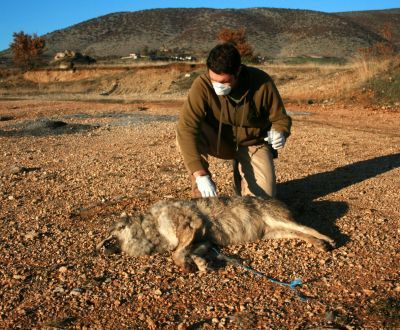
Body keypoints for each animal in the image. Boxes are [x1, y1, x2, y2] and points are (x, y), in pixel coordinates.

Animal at [97, 196, 334, 270]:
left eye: (111, 234)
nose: (98, 248)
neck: (152, 226)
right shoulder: (202, 240)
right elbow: (188, 252)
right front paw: (200, 264)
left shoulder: (190, 226)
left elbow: (176, 253)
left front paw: (187, 265)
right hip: (276, 232)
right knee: (303, 235)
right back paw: (320, 245)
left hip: (280, 221)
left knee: (309, 228)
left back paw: (329, 240)